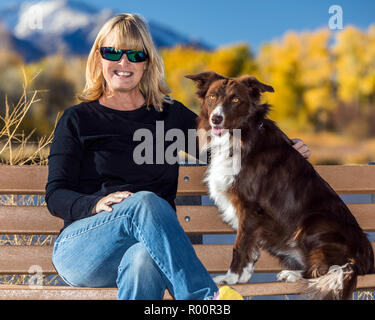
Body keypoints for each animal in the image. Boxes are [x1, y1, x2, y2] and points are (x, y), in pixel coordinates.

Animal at [188, 71, 375, 298]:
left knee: (327, 270)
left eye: (235, 100)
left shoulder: (250, 207)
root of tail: (364, 260)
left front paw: (231, 278)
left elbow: (240, 245)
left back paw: (293, 274)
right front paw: (244, 277)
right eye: (212, 96)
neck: (242, 135)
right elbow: (251, 247)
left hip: (314, 223)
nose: (216, 118)